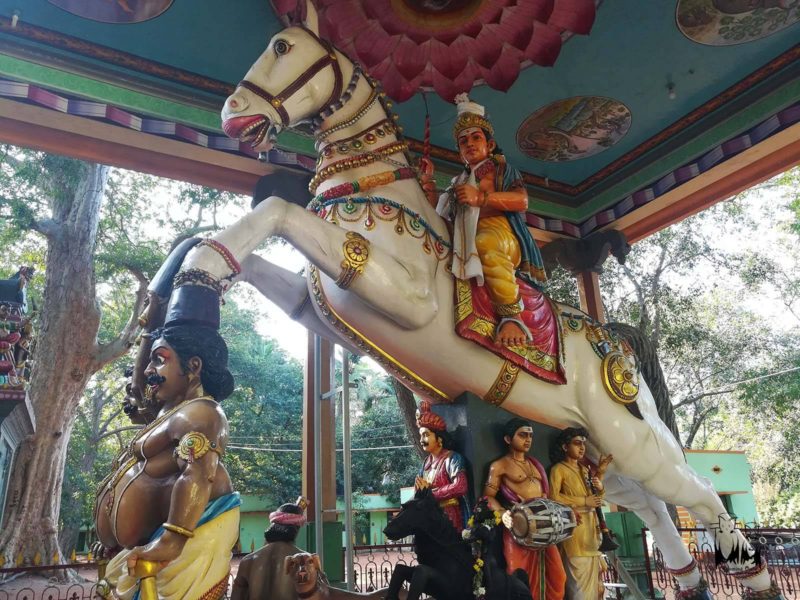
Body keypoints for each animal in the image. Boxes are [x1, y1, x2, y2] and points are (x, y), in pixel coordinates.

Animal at [167, 3, 776, 596]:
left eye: (283, 47)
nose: (234, 114)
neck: (376, 194)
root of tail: (620, 354)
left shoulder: (401, 292)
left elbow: (278, 211)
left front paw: (192, 304)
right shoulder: (316, 302)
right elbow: (233, 248)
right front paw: (179, 292)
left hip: (637, 443)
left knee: (700, 497)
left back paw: (752, 572)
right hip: (608, 457)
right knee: (654, 510)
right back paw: (693, 577)